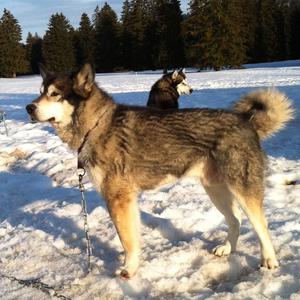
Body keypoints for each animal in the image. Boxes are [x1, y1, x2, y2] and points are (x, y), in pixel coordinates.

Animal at [25, 63, 292, 278]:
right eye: (40, 93)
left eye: (55, 94)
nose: (29, 107)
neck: (96, 126)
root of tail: (246, 121)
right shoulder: (127, 200)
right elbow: (132, 238)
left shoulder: (118, 199)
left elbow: (127, 240)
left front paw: (129, 270)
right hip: (215, 190)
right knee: (235, 220)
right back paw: (228, 248)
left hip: (241, 189)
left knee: (261, 225)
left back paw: (269, 260)